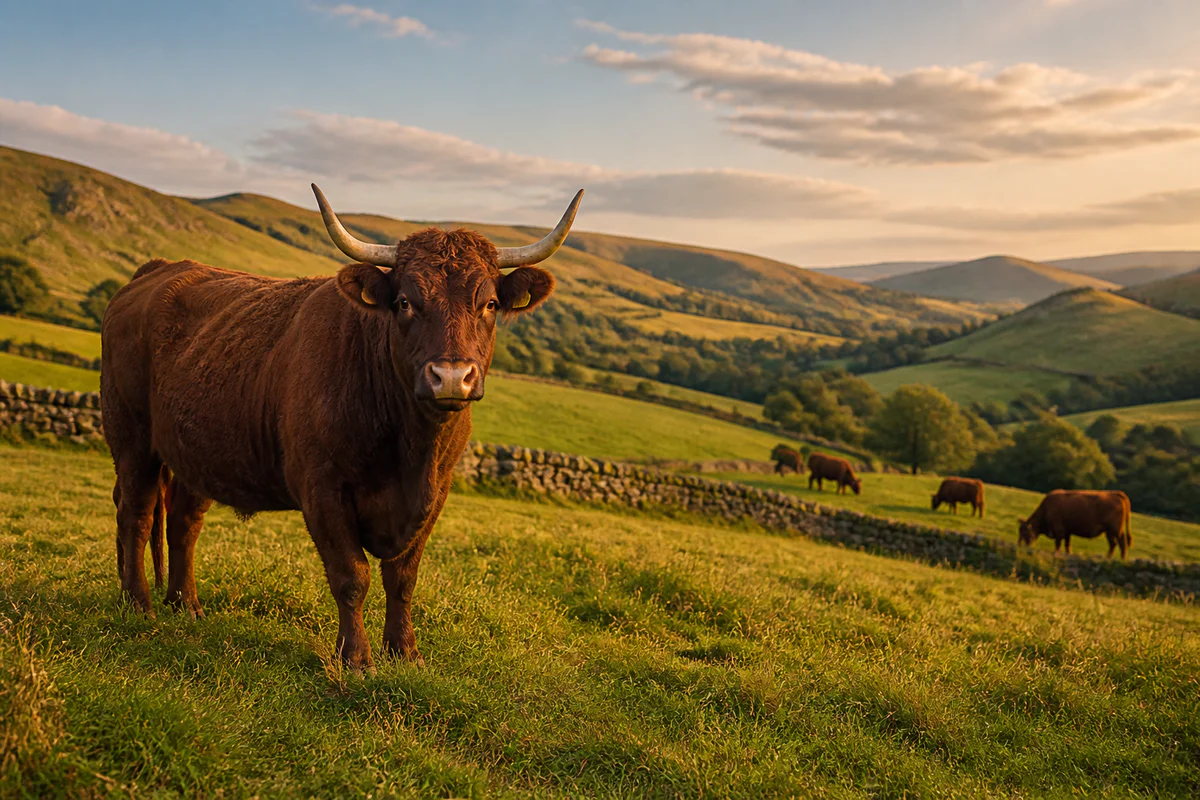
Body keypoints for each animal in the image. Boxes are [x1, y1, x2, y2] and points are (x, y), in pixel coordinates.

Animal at [101, 184, 583, 670]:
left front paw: (404, 651)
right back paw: (138, 602)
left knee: (183, 520)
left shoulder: (437, 493)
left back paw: (186, 605)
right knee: (136, 512)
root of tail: (159, 270)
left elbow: (403, 577)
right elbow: (352, 575)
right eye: (405, 302)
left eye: (489, 304)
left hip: (196, 450)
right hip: (131, 435)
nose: (450, 377)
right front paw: (356, 657)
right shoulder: (321, 487)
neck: (411, 449)